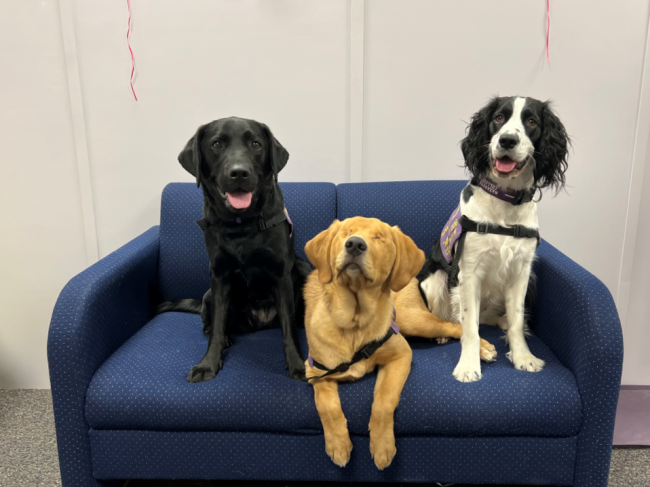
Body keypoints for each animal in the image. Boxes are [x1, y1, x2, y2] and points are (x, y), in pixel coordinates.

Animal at [158, 117, 308, 382]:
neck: (242, 225)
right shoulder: (219, 276)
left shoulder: (281, 275)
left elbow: (289, 329)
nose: (239, 172)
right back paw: (225, 337)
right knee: (209, 325)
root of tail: (261, 323)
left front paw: (298, 365)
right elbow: (218, 325)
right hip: (208, 294)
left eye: (256, 144)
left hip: (302, 268)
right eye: (216, 144)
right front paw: (208, 364)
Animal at [420, 97, 568, 384]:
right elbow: (469, 326)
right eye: (499, 118)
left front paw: (523, 357)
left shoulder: (522, 272)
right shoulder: (468, 272)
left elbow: (517, 320)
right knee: (449, 317)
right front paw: (469, 365)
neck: (506, 201)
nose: (507, 140)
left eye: (531, 121)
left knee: (494, 318)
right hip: (436, 280)